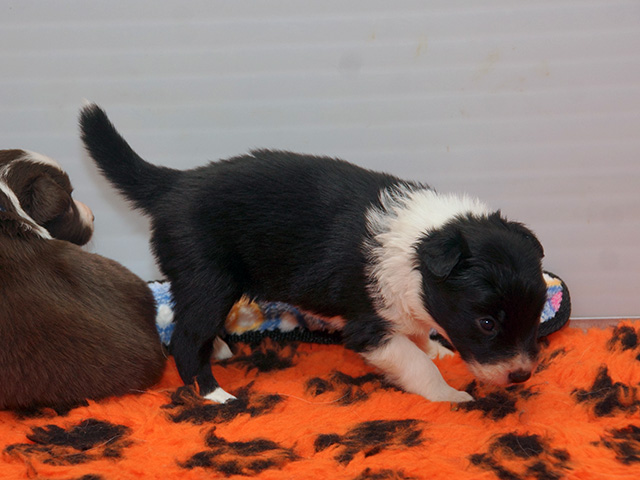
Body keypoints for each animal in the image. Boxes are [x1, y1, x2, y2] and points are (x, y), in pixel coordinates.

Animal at [80, 104, 547, 404]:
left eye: (537, 312)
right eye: (486, 323)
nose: (521, 376)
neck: (422, 244)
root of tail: (174, 184)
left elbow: (418, 335)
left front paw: (437, 348)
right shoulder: (367, 329)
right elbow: (415, 364)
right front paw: (450, 394)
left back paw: (219, 350)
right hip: (208, 279)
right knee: (184, 338)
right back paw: (215, 394)